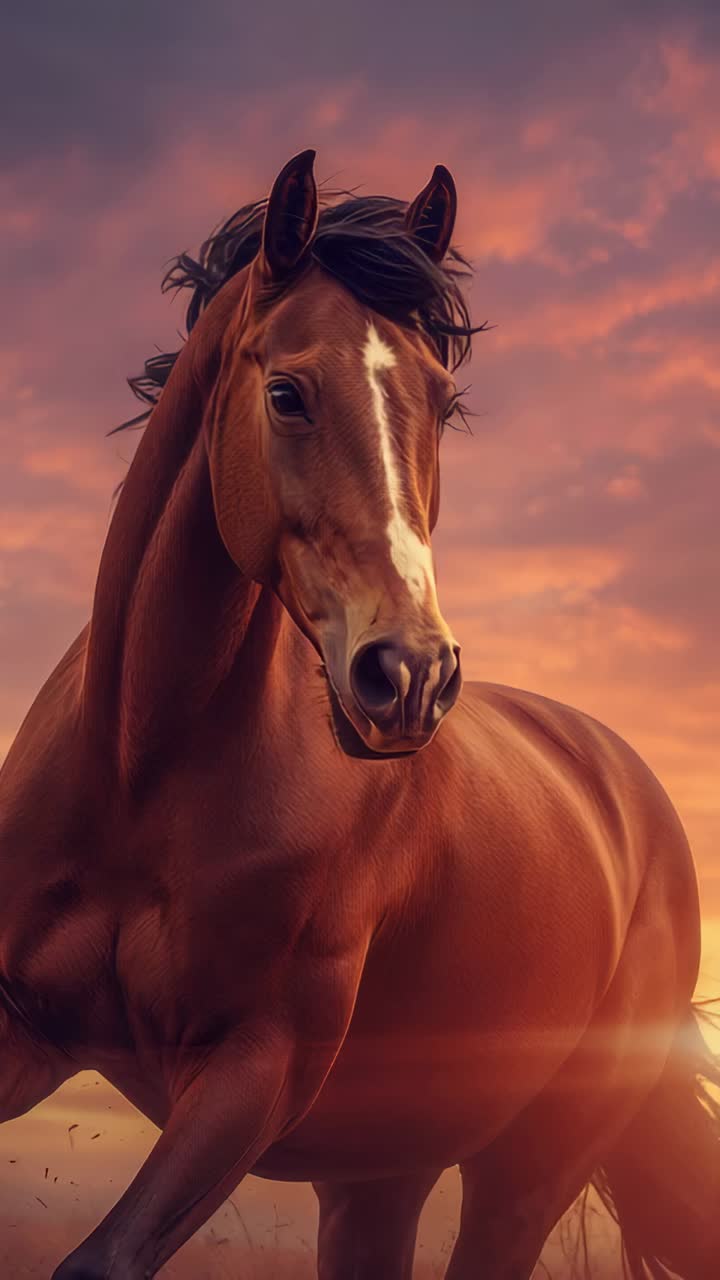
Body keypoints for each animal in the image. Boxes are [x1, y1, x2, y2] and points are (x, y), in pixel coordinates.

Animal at [0, 148, 718, 1280]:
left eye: (444, 400)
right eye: (287, 392)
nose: (410, 675)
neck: (140, 776)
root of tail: (624, 785)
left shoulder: (257, 1069)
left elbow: (101, 1258)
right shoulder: (21, 1025)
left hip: (526, 1168)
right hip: (378, 1174)